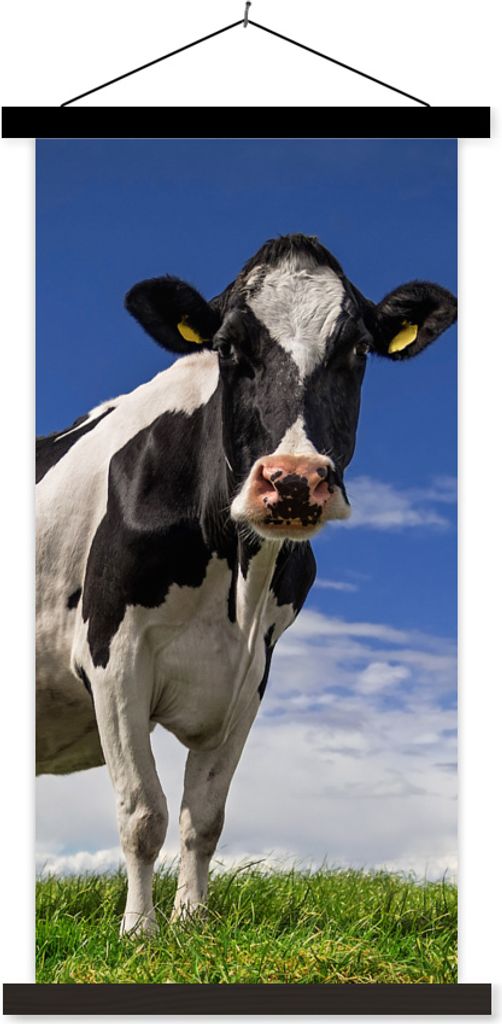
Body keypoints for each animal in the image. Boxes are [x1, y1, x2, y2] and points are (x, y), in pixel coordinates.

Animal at [36, 234, 457, 935]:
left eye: (357, 349)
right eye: (229, 347)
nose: (292, 480)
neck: (234, 578)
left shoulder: (251, 668)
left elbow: (203, 816)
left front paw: (191, 924)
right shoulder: (111, 649)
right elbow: (142, 811)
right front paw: (139, 931)